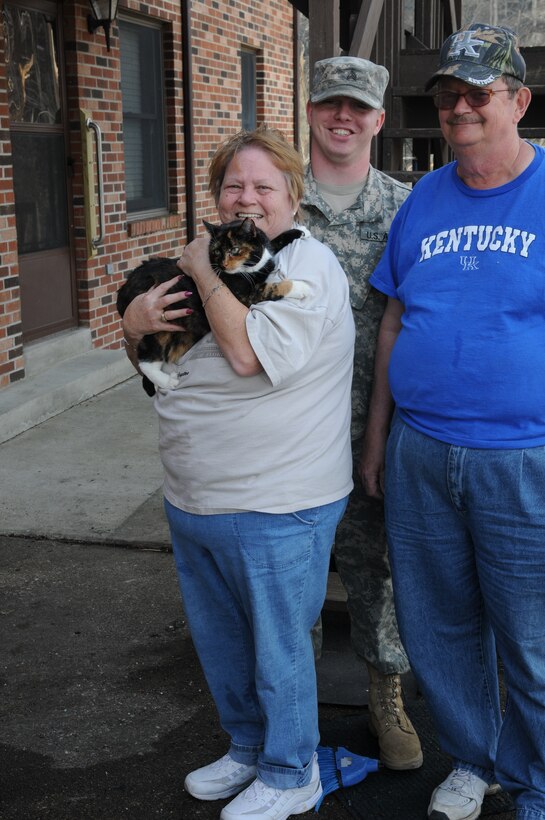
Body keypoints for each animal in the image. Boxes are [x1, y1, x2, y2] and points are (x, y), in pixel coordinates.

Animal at [117, 218, 308, 398]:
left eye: (235, 249)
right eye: (216, 251)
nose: (223, 265)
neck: (251, 267)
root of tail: (123, 291)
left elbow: (273, 242)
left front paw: (300, 231)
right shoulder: (244, 295)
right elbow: (271, 288)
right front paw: (301, 287)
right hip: (155, 322)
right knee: (146, 359)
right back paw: (167, 381)